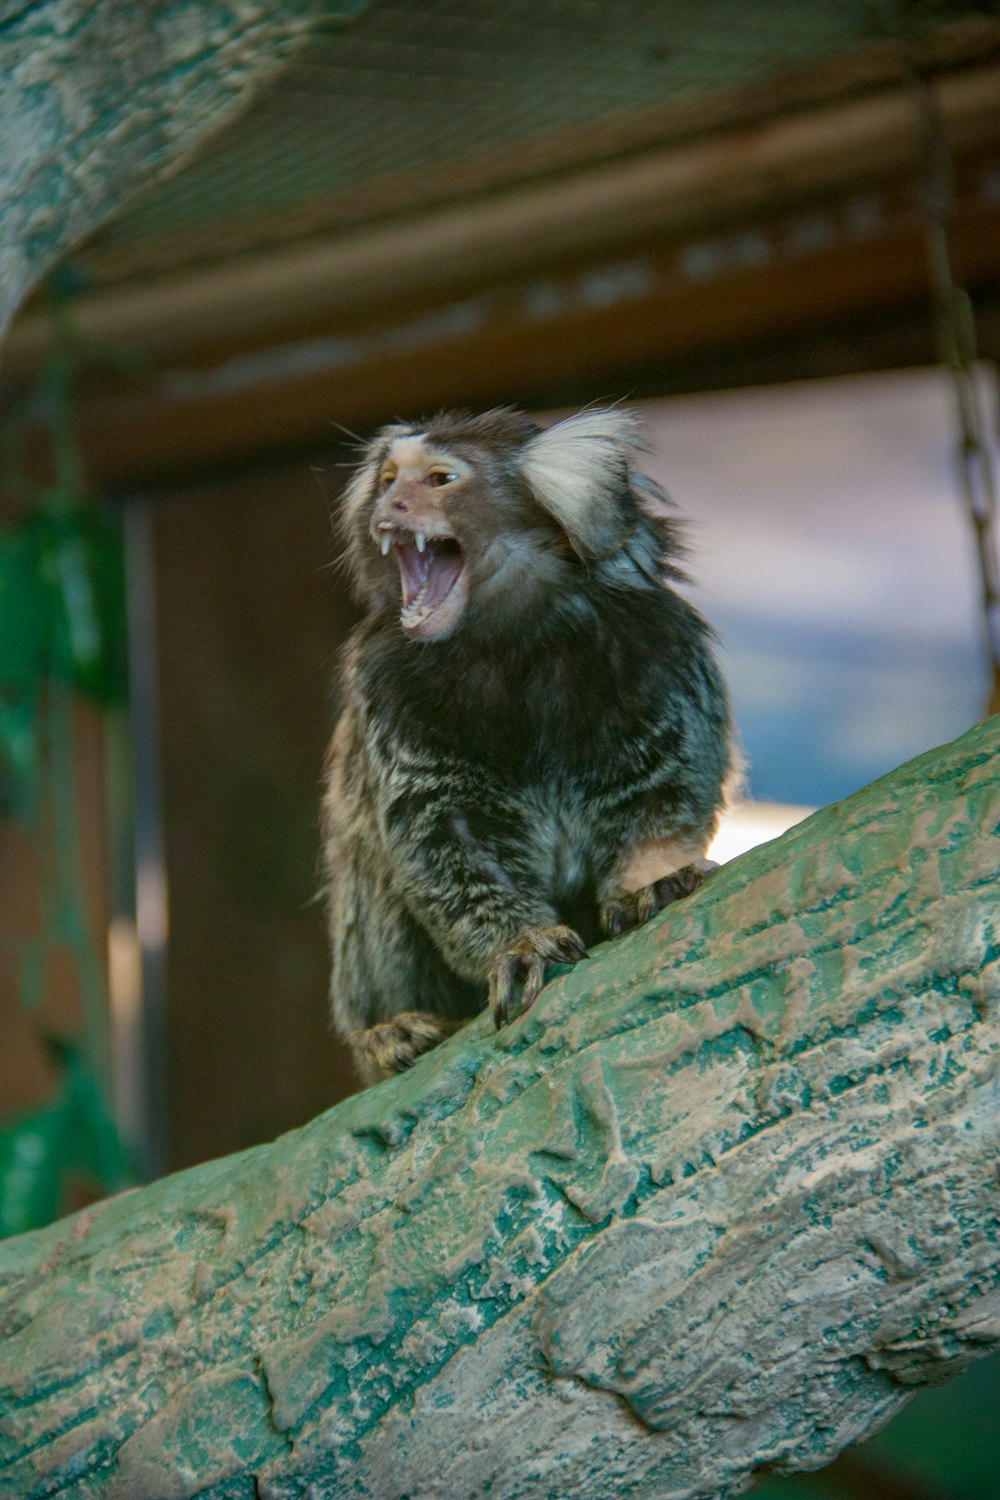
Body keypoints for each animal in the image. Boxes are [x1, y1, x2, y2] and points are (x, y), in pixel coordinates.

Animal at [325, 405, 731, 1086]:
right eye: (386, 480)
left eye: (438, 479)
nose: (392, 506)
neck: (514, 641)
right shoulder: (385, 691)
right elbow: (439, 839)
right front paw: (519, 943)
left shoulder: (662, 653)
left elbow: (664, 794)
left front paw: (649, 883)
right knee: (368, 869)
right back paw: (389, 1032)